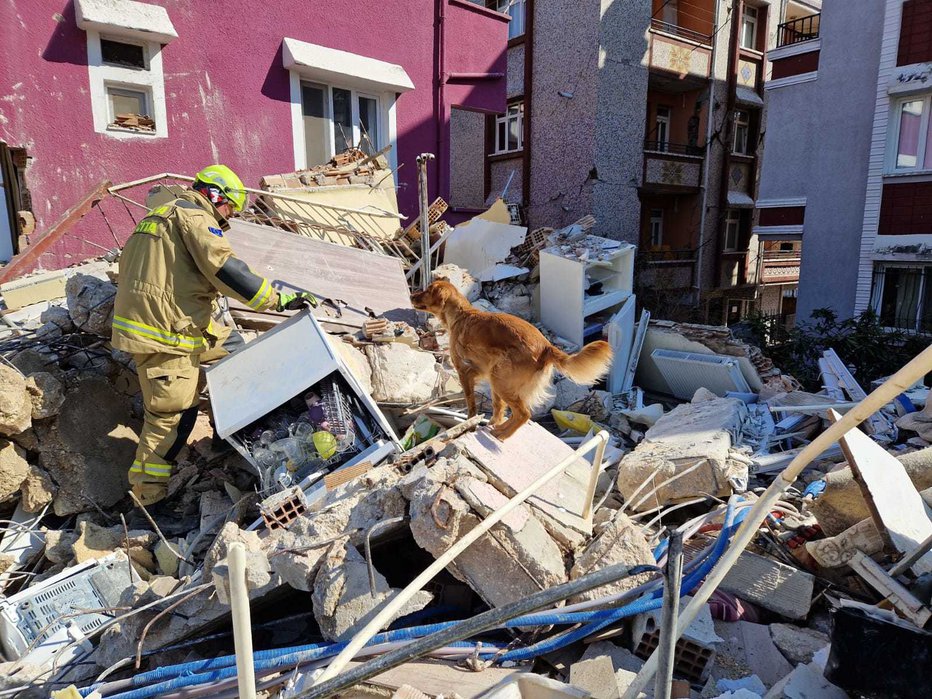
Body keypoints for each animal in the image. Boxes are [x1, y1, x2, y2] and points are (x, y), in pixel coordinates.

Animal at [414, 280, 616, 440]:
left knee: (524, 413)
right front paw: (492, 422)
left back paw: (502, 434)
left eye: (427, 291)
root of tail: (546, 346)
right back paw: (501, 429)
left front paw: (470, 424)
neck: (461, 314)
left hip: (500, 379)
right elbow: (497, 407)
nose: (412, 295)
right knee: (517, 412)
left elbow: (471, 405)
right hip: (500, 379)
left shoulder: (464, 372)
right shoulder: (486, 375)